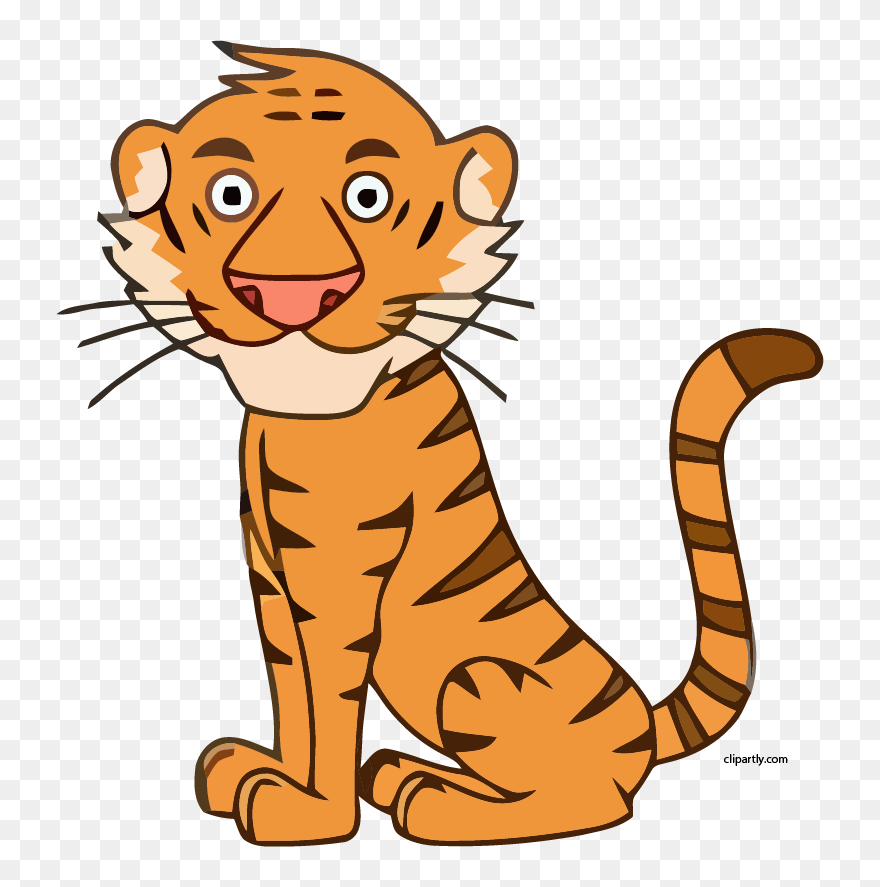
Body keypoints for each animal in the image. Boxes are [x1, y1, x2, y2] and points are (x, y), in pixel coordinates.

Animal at [65, 43, 823, 846]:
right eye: (230, 194)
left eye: (368, 196)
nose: (291, 293)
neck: (305, 412)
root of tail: (642, 724)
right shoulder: (270, 576)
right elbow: (291, 691)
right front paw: (258, 771)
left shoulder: (337, 583)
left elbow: (328, 701)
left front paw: (311, 813)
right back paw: (403, 773)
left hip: (476, 681)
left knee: (595, 799)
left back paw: (432, 805)